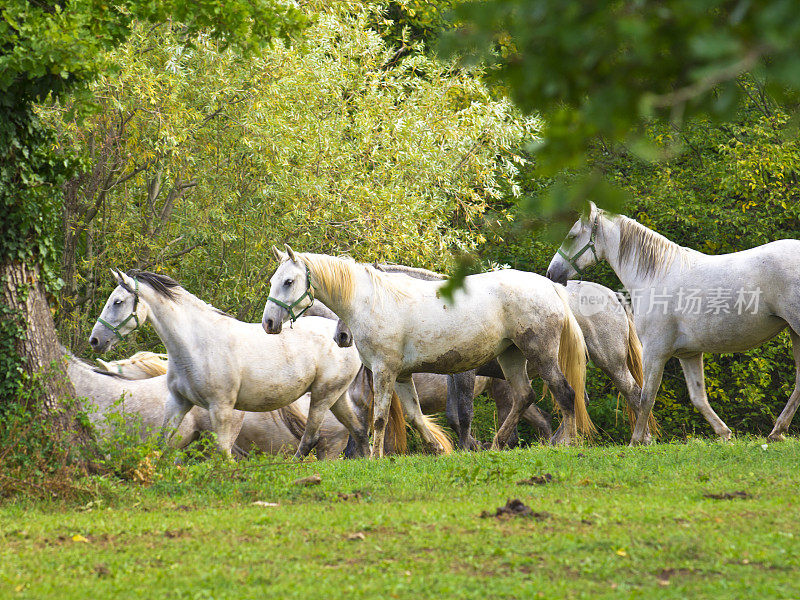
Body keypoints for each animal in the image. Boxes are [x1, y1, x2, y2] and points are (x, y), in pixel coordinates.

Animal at [89, 270, 370, 458]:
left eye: (117, 302)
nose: (95, 340)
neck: (196, 343)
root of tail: (343, 336)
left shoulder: (222, 408)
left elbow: (222, 453)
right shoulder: (178, 402)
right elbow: (162, 441)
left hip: (323, 395)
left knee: (311, 438)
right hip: (336, 396)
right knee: (359, 429)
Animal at [262, 244, 592, 454]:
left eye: (288, 281)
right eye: (274, 280)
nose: (268, 323)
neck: (375, 301)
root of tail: (549, 287)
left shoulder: (385, 371)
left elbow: (381, 418)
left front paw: (375, 457)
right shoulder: (402, 375)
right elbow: (414, 416)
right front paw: (438, 448)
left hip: (541, 354)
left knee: (566, 393)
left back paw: (568, 444)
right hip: (510, 357)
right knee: (524, 397)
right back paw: (498, 445)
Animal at [548, 204, 800, 442]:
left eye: (571, 236)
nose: (552, 273)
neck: (656, 274)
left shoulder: (655, 352)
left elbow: (646, 396)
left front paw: (637, 440)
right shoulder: (688, 354)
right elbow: (698, 398)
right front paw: (724, 433)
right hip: (794, 333)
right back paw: (777, 431)